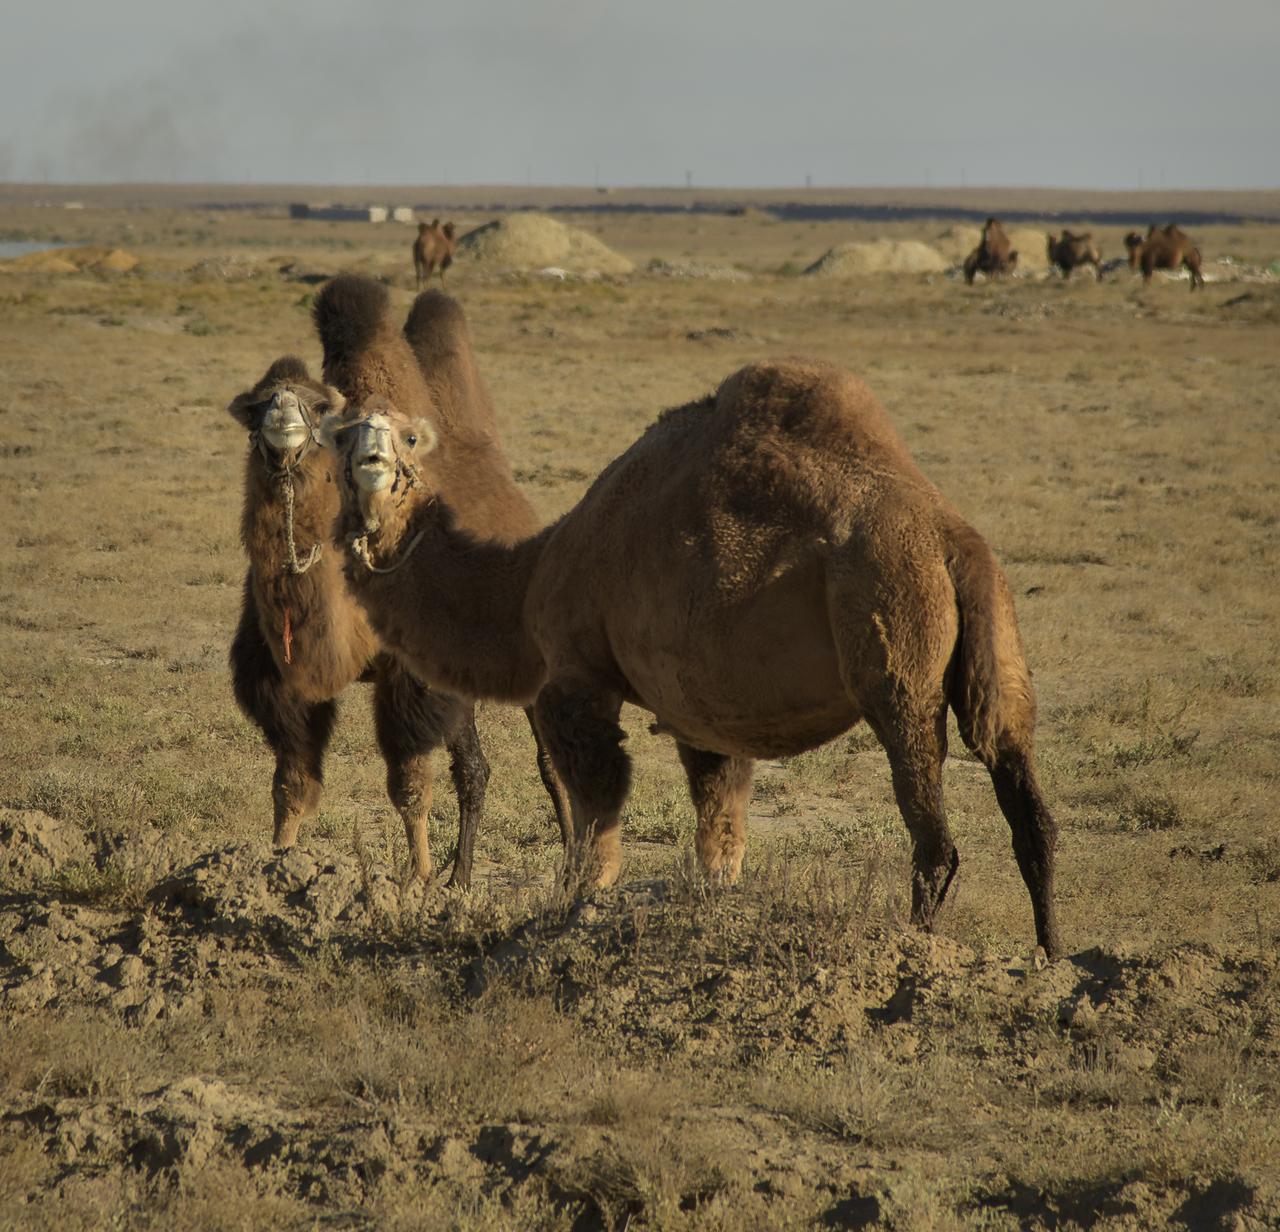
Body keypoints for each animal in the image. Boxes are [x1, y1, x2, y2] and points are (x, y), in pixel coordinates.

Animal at [228, 292, 568, 885]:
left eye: (318, 406)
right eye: (259, 401)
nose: (282, 416)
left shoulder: (409, 677)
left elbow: (409, 783)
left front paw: (418, 875)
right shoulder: (278, 675)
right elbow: (291, 781)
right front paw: (277, 861)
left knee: (545, 762)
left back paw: (567, 866)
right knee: (477, 766)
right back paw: (464, 877)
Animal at [312, 277, 1062, 956]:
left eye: (409, 438)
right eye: (344, 436)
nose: (372, 457)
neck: (529, 579)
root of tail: (948, 538)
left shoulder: (576, 677)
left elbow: (597, 821)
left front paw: (572, 917)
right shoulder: (704, 710)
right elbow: (718, 832)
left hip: (895, 639)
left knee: (935, 837)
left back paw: (918, 949)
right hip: (994, 635)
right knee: (1026, 801)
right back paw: (1051, 957)